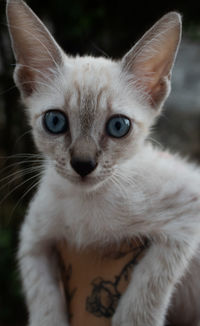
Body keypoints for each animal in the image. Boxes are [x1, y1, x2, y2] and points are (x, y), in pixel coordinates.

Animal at [6, 0, 200, 326]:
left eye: (118, 126)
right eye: (55, 121)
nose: (83, 164)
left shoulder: (189, 210)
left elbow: (150, 279)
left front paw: (131, 318)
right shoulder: (32, 237)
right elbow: (42, 296)